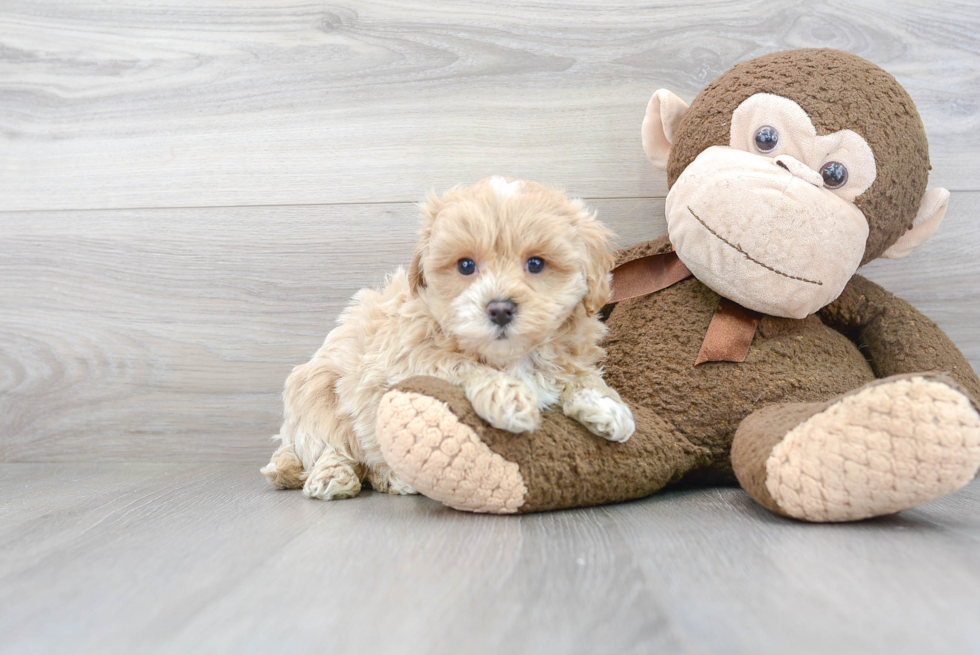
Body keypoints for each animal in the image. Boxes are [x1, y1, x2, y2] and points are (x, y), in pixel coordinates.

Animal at [260, 177, 636, 500]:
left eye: (536, 264)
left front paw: (605, 405)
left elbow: (581, 376)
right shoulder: (408, 360)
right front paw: (509, 397)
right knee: (331, 446)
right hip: (317, 394)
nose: (500, 309)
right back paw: (334, 476)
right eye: (466, 266)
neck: (511, 357)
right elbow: (459, 365)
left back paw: (392, 478)